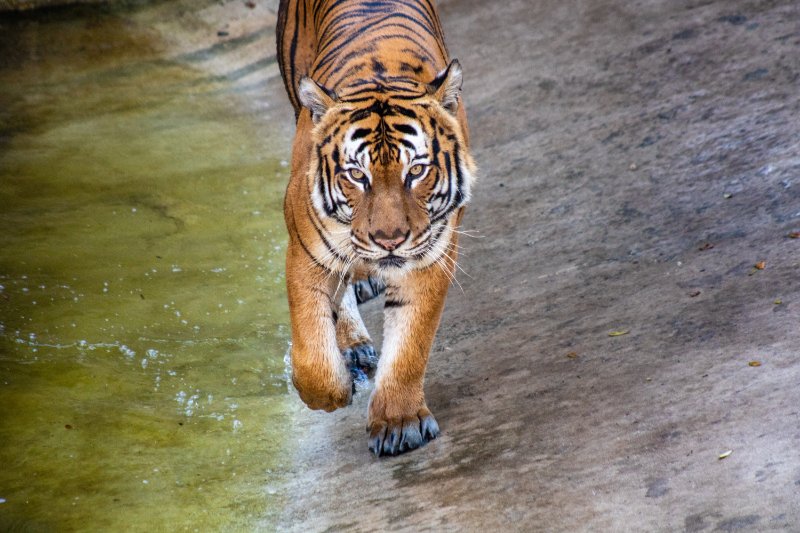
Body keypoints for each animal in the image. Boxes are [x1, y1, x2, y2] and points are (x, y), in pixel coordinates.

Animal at [276, 0, 476, 456]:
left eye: (416, 171)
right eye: (356, 175)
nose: (389, 241)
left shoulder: (430, 257)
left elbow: (410, 344)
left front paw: (399, 423)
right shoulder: (305, 251)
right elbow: (312, 357)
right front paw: (332, 393)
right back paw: (352, 347)